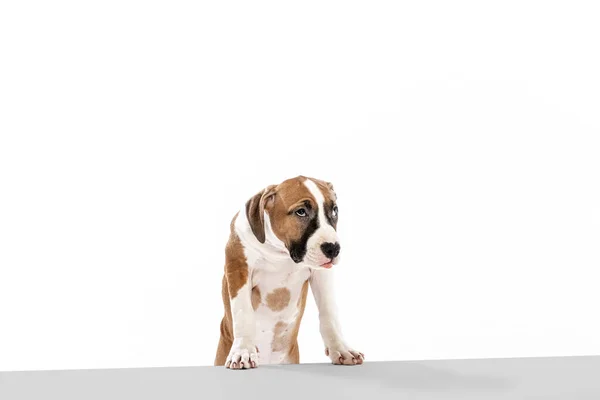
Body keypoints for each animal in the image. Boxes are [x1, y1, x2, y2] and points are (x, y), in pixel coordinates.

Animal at [216, 175, 366, 368]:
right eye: (301, 212)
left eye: (334, 210)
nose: (333, 249)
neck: (281, 252)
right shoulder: (238, 267)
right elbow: (242, 312)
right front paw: (243, 352)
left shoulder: (321, 274)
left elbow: (329, 311)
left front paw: (341, 348)